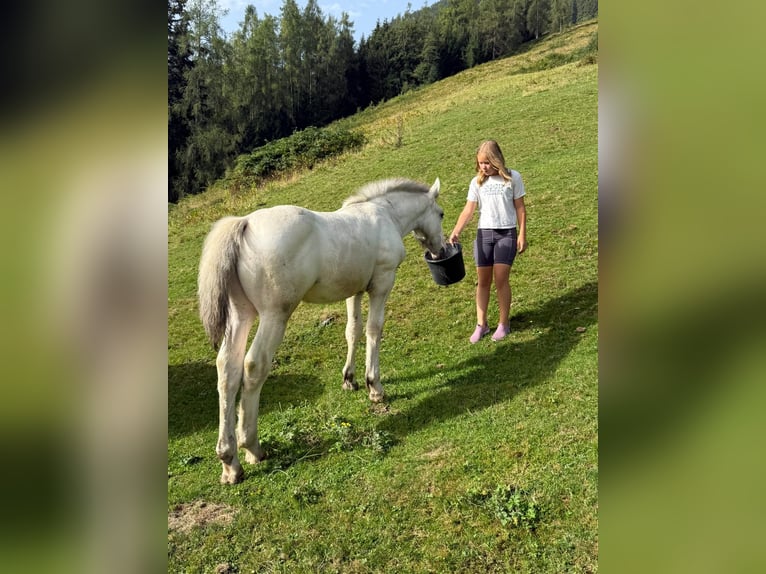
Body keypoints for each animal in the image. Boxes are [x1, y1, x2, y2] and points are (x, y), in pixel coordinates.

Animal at [198, 178, 446, 484]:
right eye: (441, 214)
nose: (440, 251)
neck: (386, 214)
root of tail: (244, 223)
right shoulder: (382, 283)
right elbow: (374, 330)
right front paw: (374, 387)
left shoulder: (355, 289)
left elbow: (353, 330)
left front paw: (350, 379)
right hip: (274, 315)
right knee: (254, 366)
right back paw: (252, 447)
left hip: (240, 315)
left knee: (227, 369)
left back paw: (229, 461)